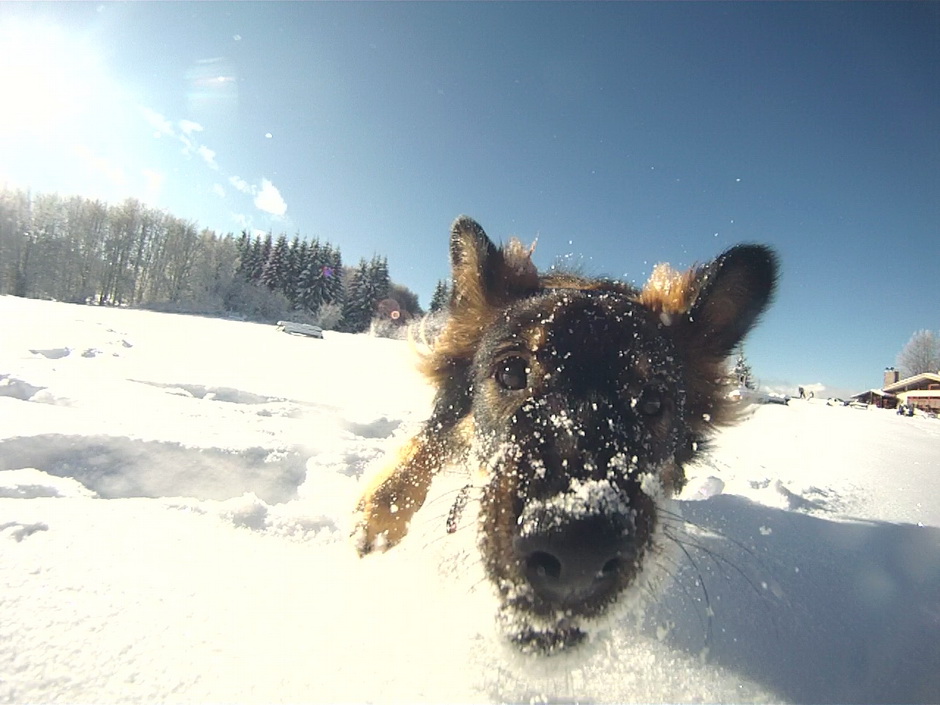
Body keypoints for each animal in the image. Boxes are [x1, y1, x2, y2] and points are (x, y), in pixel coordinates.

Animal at [354, 216, 777, 652]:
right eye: (511, 372)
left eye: (652, 403)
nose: (578, 554)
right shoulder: (447, 415)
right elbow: (425, 446)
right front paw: (381, 512)